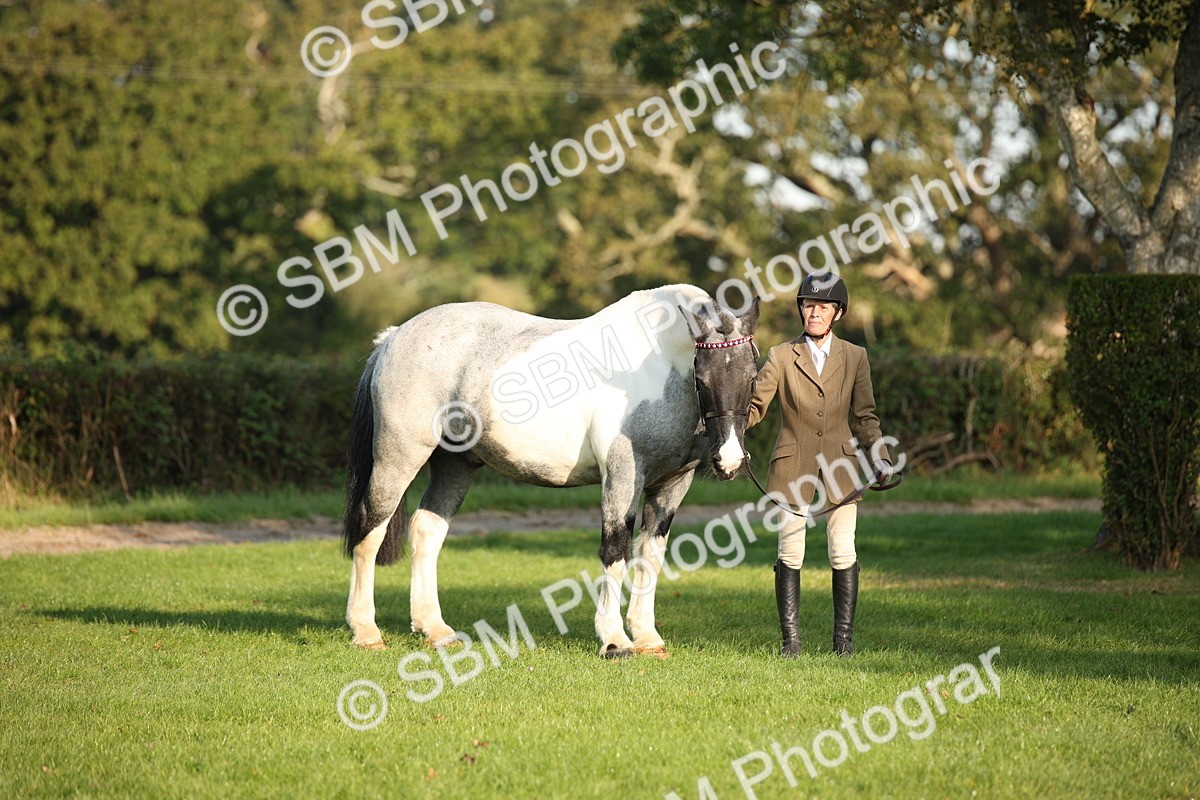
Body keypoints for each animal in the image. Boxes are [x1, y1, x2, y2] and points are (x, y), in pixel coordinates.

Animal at [342, 284, 761, 657]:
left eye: (752, 376)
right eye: (701, 377)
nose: (730, 460)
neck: (658, 365)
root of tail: (394, 338)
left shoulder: (673, 483)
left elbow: (650, 554)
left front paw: (647, 637)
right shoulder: (623, 474)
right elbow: (616, 550)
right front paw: (615, 640)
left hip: (454, 466)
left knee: (426, 531)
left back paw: (435, 630)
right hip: (398, 457)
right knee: (370, 530)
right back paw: (366, 632)